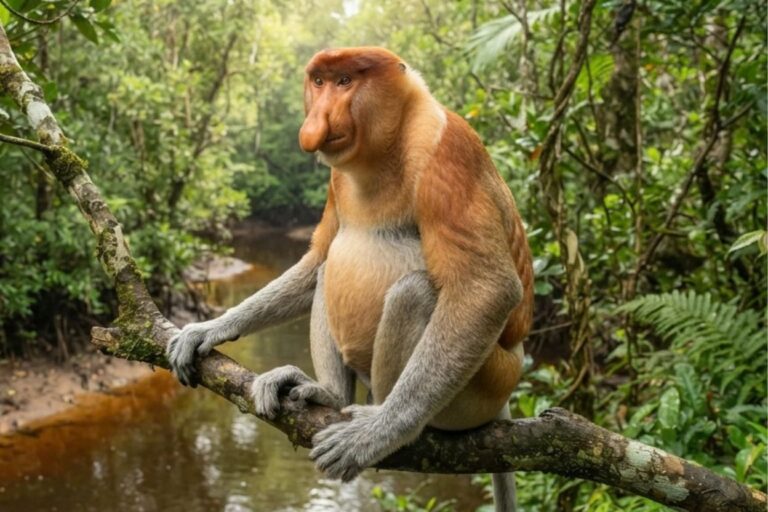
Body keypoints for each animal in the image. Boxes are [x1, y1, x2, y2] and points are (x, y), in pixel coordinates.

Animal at [167, 47, 534, 512]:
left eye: (345, 81)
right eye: (319, 81)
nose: (316, 122)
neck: (384, 150)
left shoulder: (448, 151)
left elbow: (488, 288)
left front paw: (373, 436)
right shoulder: (335, 179)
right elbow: (319, 258)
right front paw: (206, 329)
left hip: (484, 384)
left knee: (415, 292)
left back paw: (389, 420)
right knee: (329, 270)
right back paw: (329, 395)